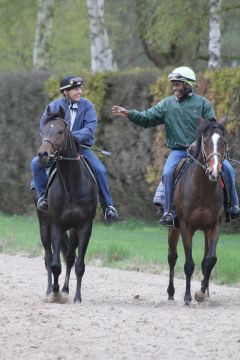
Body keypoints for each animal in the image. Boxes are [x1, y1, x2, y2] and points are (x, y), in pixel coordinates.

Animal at [35, 105, 97, 302]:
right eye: (43, 131)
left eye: (61, 131)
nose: (43, 155)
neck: (72, 184)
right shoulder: (57, 224)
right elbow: (55, 264)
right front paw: (55, 293)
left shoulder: (84, 225)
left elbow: (78, 264)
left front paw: (76, 296)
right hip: (44, 226)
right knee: (48, 258)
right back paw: (50, 289)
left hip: (73, 229)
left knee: (70, 257)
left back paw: (66, 289)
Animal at [166, 117, 228, 304]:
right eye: (205, 141)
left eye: (223, 142)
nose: (215, 171)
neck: (203, 189)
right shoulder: (186, 227)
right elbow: (188, 264)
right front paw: (187, 296)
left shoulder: (214, 226)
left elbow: (210, 260)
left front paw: (201, 292)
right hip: (173, 228)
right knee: (172, 257)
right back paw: (171, 292)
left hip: (205, 231)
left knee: (205, 260)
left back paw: (205, 291)